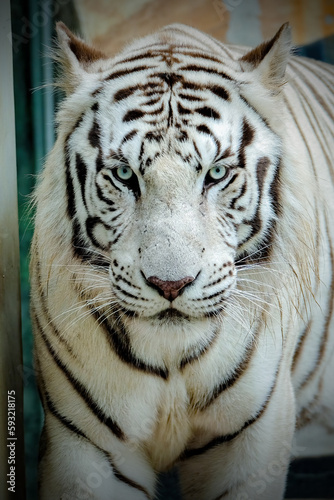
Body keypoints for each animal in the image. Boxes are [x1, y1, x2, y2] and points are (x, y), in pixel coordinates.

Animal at [31, 20, 334, 500]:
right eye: (124, 175)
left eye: (216, 173)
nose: (170, 285)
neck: (172, 361)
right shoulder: (86, 445)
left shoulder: (252, 437)